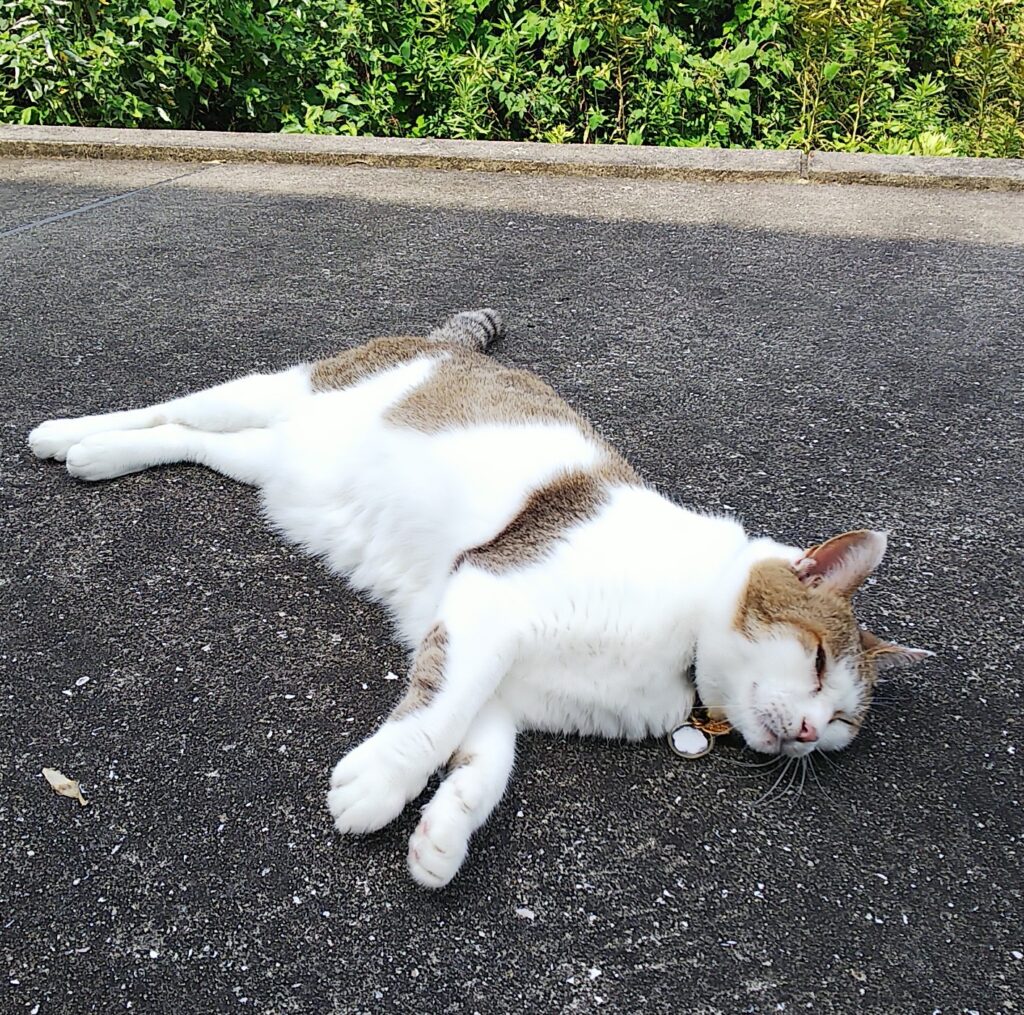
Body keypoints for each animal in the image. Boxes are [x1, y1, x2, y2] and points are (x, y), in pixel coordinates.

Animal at [28, 309, 933, 889]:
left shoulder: (502, 686)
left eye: (843, 721)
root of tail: (443, 342)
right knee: (177, 405)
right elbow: (433, 718)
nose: (811, 731)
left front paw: (442, 835)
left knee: (192, 441)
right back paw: (68, 434)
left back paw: (102, 456)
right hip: (280, 390)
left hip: (273, 465)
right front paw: (379, 784)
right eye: (815, 660)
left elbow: (484, 760)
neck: (679, 647)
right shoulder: (488, 598)